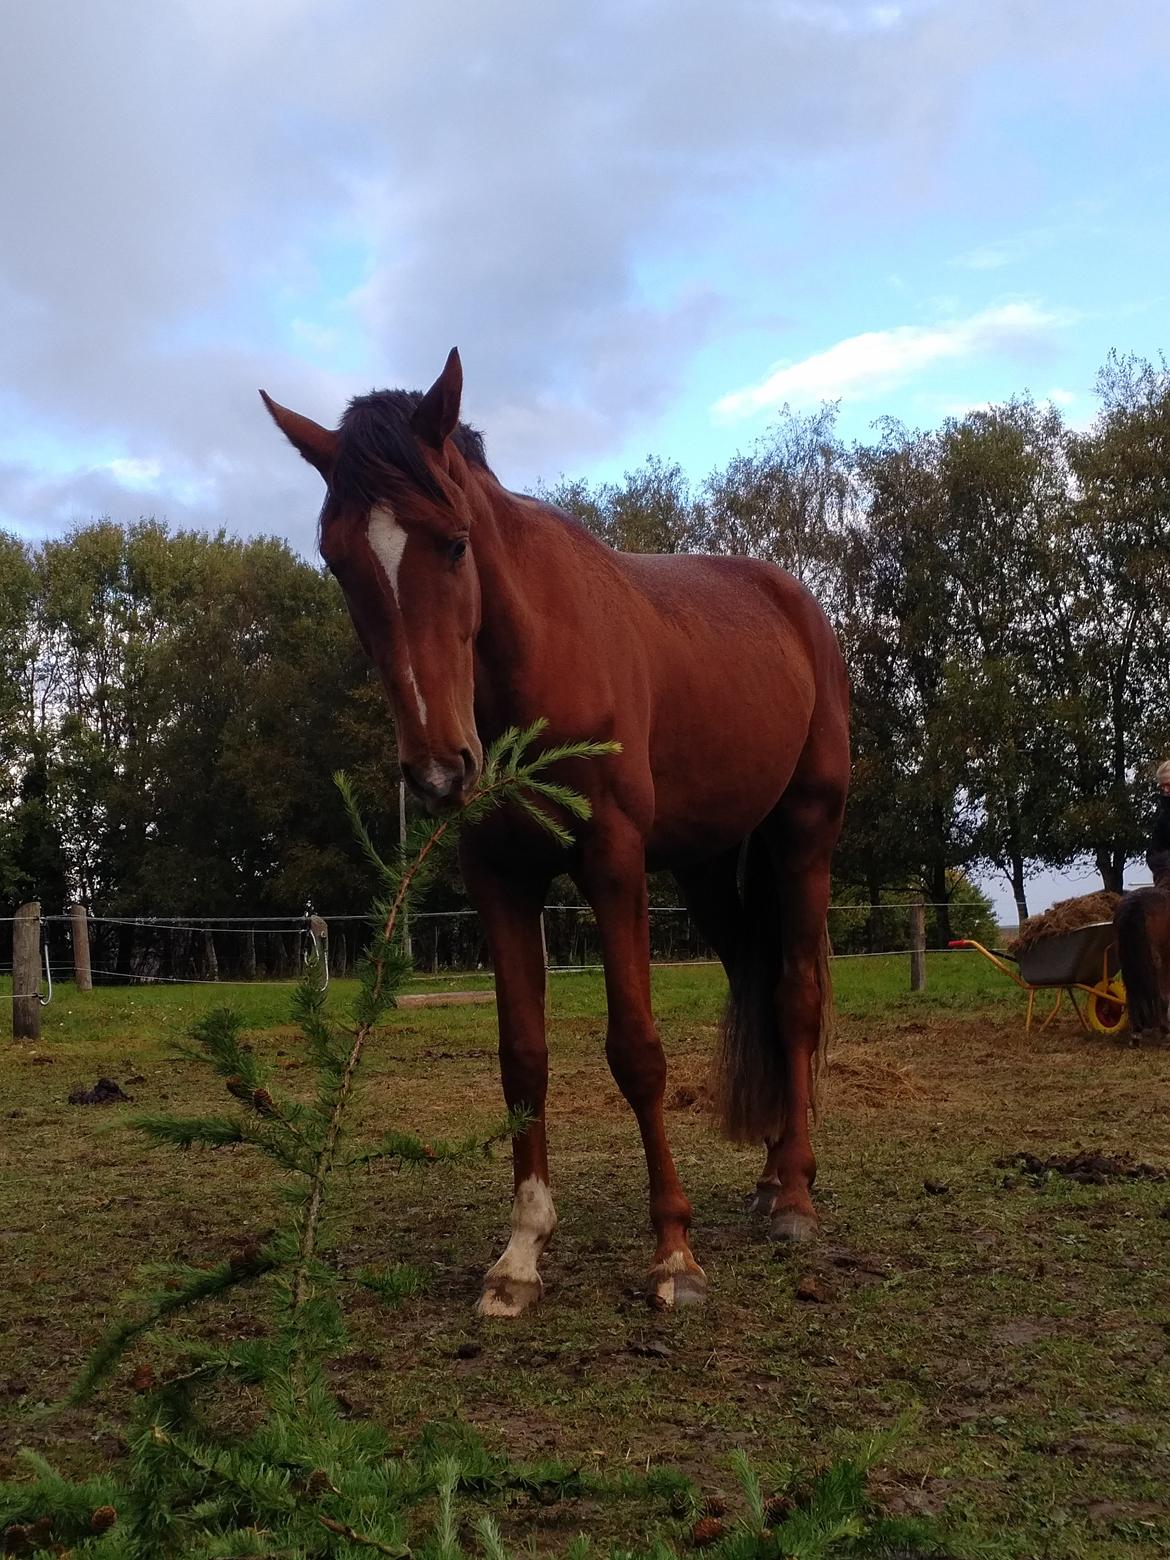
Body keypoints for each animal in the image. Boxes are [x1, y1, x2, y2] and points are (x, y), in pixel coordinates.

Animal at [263, 354, 854, 1316]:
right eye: (337, 560)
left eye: (454, 541)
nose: (440, 769)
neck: (530, 664)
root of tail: (796, 605)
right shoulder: (500, 877)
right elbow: (523, 1057)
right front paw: (520, 1253)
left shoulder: (612, 862)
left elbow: (637, 1052)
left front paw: (674, 1254)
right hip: (707, 867)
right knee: (760, 985)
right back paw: (770, 1178)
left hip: (805, 832)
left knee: (796, 995)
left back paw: (797, 1195)